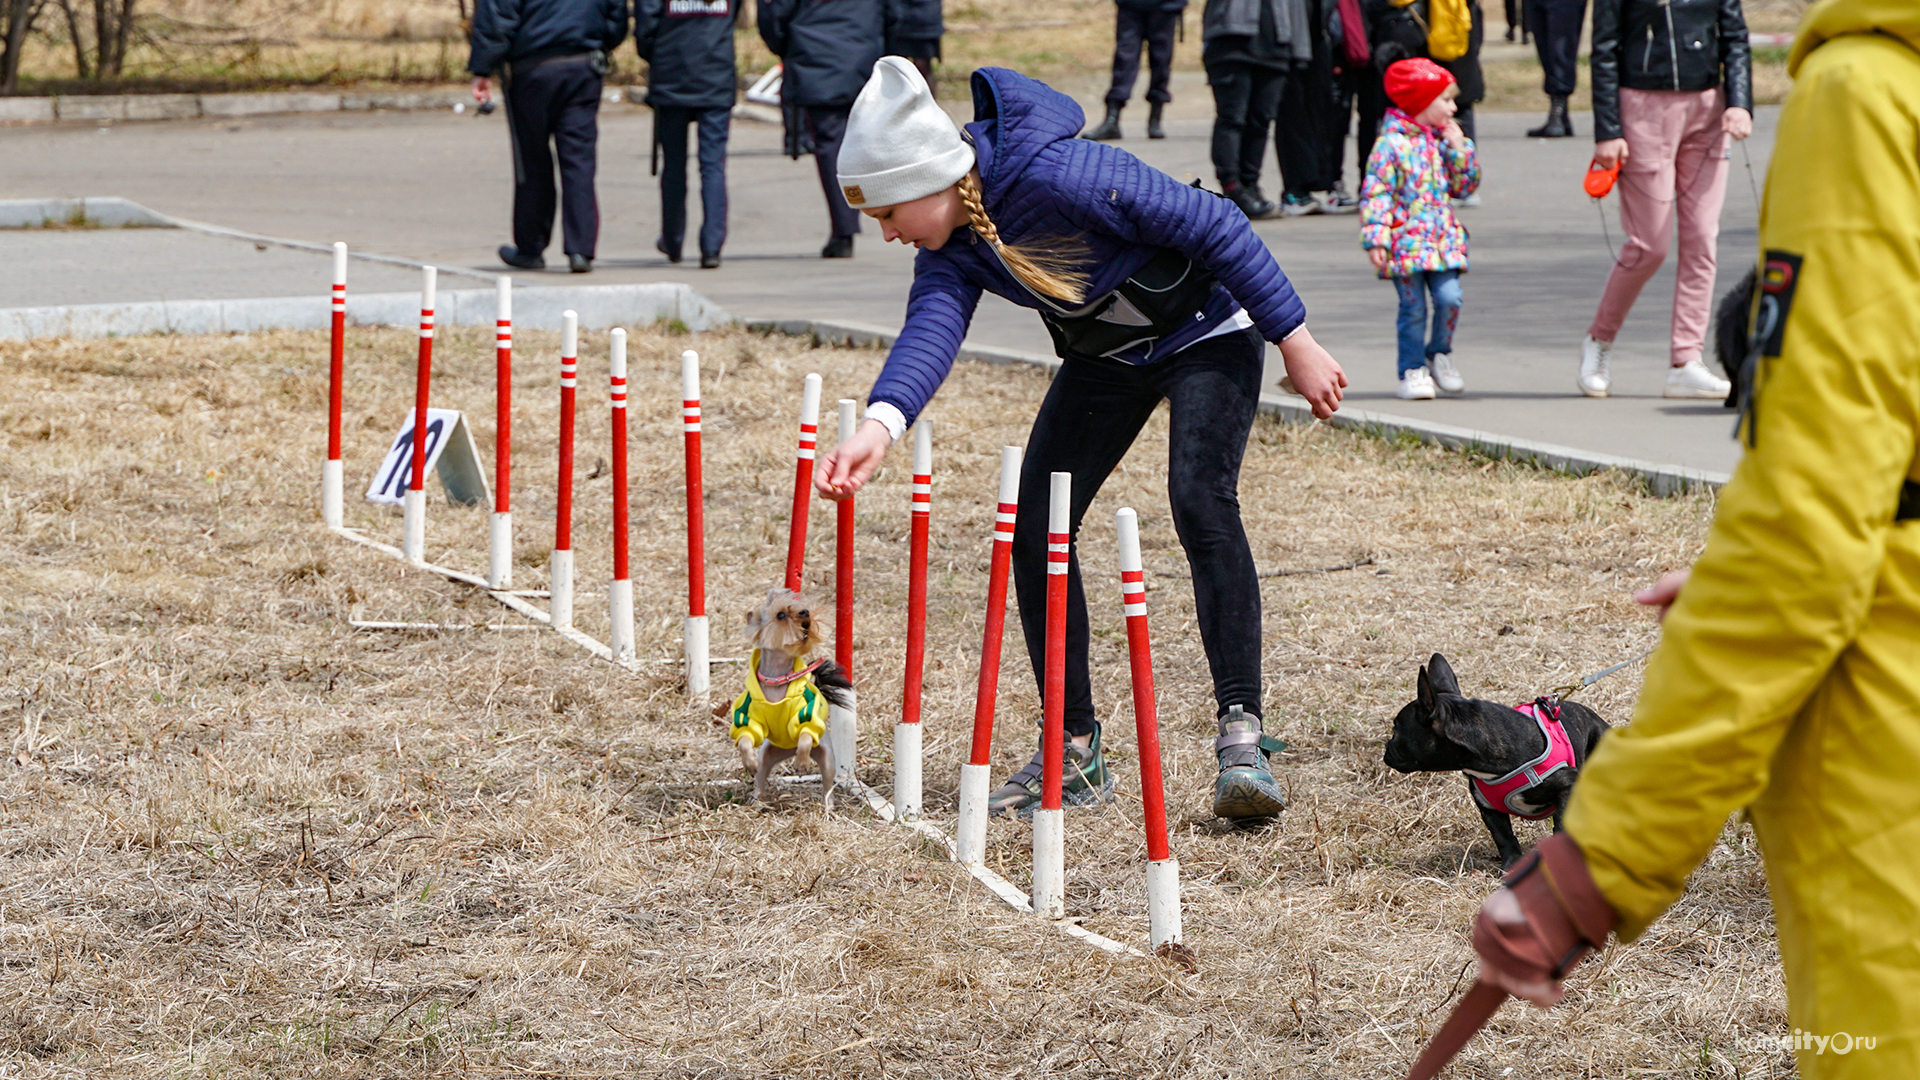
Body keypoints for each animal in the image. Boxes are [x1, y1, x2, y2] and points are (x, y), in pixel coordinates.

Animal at [721, 588, 852, 799]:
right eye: (781, 615)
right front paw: (749, 763)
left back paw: (826, 803)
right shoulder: (748, 717)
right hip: (767, 754)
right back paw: (757, 801)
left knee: (827, 785)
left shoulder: (807, 714)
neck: (777, 679)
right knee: (761, 778)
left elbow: (805, 737)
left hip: (827, 758)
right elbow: (745, 740)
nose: (805, 613)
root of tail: (788, 749)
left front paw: (801, 763)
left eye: (803, 608)